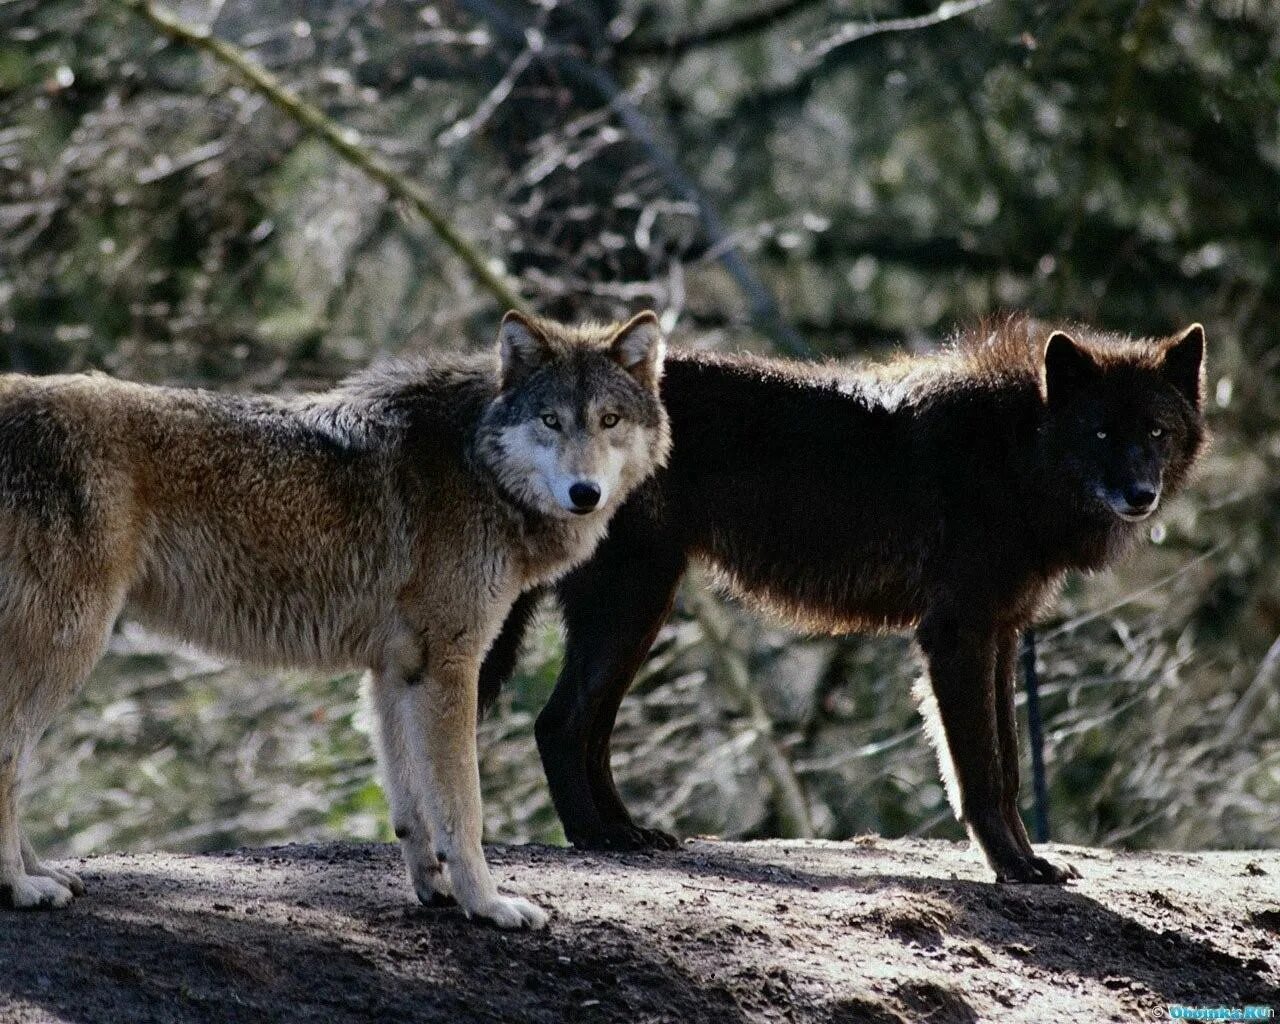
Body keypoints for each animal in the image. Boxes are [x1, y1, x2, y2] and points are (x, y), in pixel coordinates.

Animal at [0, 308, 675, 921]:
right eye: (550, 420)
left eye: (609, 420)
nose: (585, 493)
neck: (475, 462)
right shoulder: (451, 666)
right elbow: (463, 809)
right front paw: (488, 905)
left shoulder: (396, 671)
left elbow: (412, 808)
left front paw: (436, 893)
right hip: (68, 644)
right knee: (11, 758)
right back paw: (21, 887)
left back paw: (43, 872)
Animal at [481, 316, 1208, 885]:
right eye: (1100, 434)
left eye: (1157, 432)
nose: (1140, 495)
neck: (1017, 450)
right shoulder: (957, 634)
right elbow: (979, 770)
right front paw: (1011, 867)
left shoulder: (1001, 633)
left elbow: (1007, 768)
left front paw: (1028, 862)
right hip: (634, 601)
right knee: (558, 722)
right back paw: (596, 837)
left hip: (641, 609)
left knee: (589, 728)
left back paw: (629, 834)